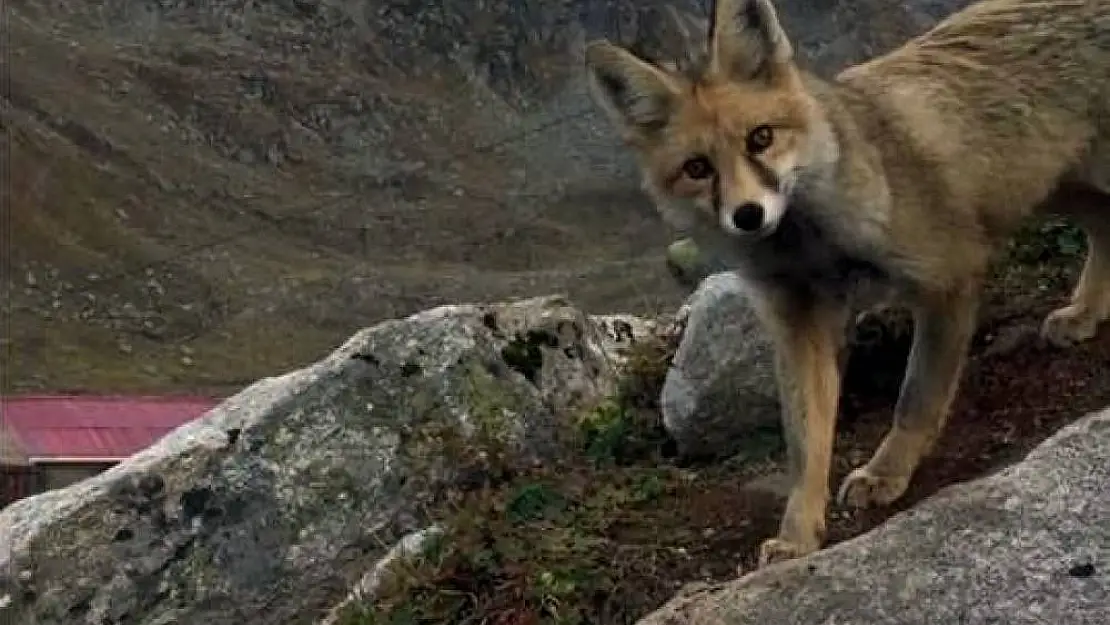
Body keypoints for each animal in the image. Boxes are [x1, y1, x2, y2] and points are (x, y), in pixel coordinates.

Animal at [581, 0, 1110, 568]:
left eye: (760, 138)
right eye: (698, 168)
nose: (748, 215)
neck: (816, 248)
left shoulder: (949, 278)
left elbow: (915, 400)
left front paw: (886, 473)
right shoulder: (800, 325)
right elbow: (806, 446)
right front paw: (797, 536)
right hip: (1054, 188)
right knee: (1105, 226)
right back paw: (1084, 313)